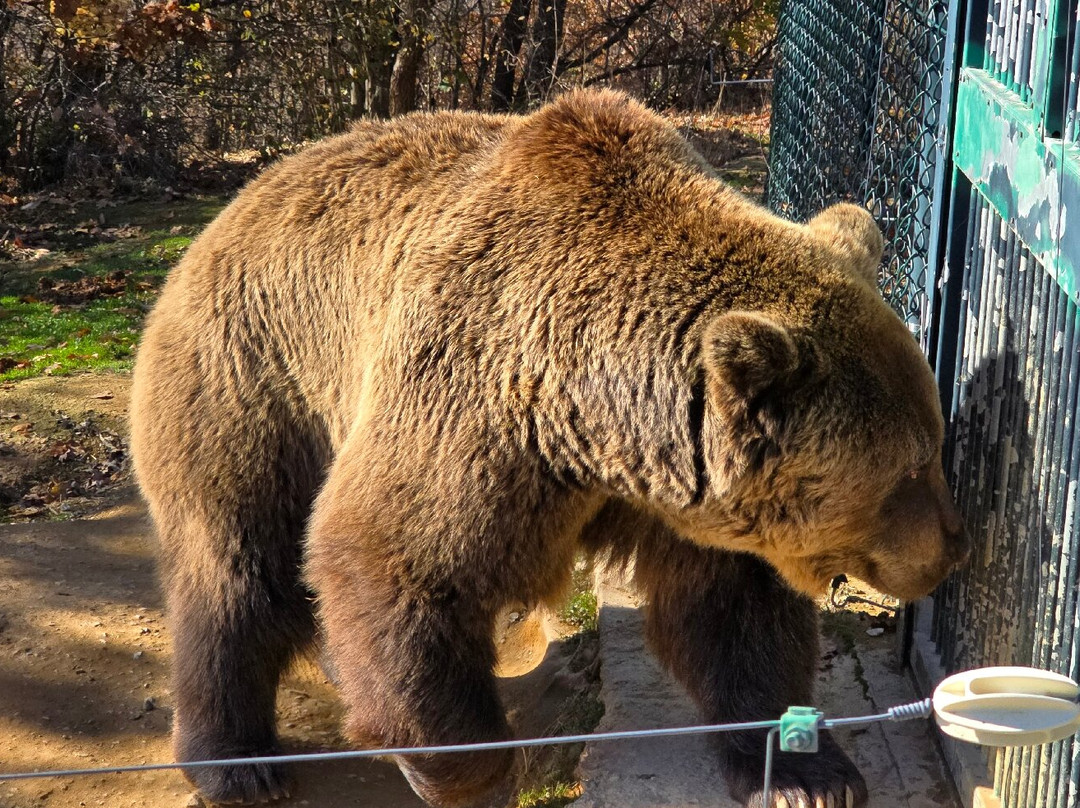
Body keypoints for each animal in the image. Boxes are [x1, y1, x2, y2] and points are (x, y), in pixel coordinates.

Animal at [130, 89, 968, 808]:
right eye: (910, 468)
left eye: (937, 443)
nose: (953, 549)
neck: (595, 418)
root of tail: (224, 216)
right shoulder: (473, 402)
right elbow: (393, 555)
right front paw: (467, 770)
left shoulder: (684, 487)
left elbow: (734, 609)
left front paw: (804, 772)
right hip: (252, 382)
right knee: (239, 574)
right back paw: (237, 764)